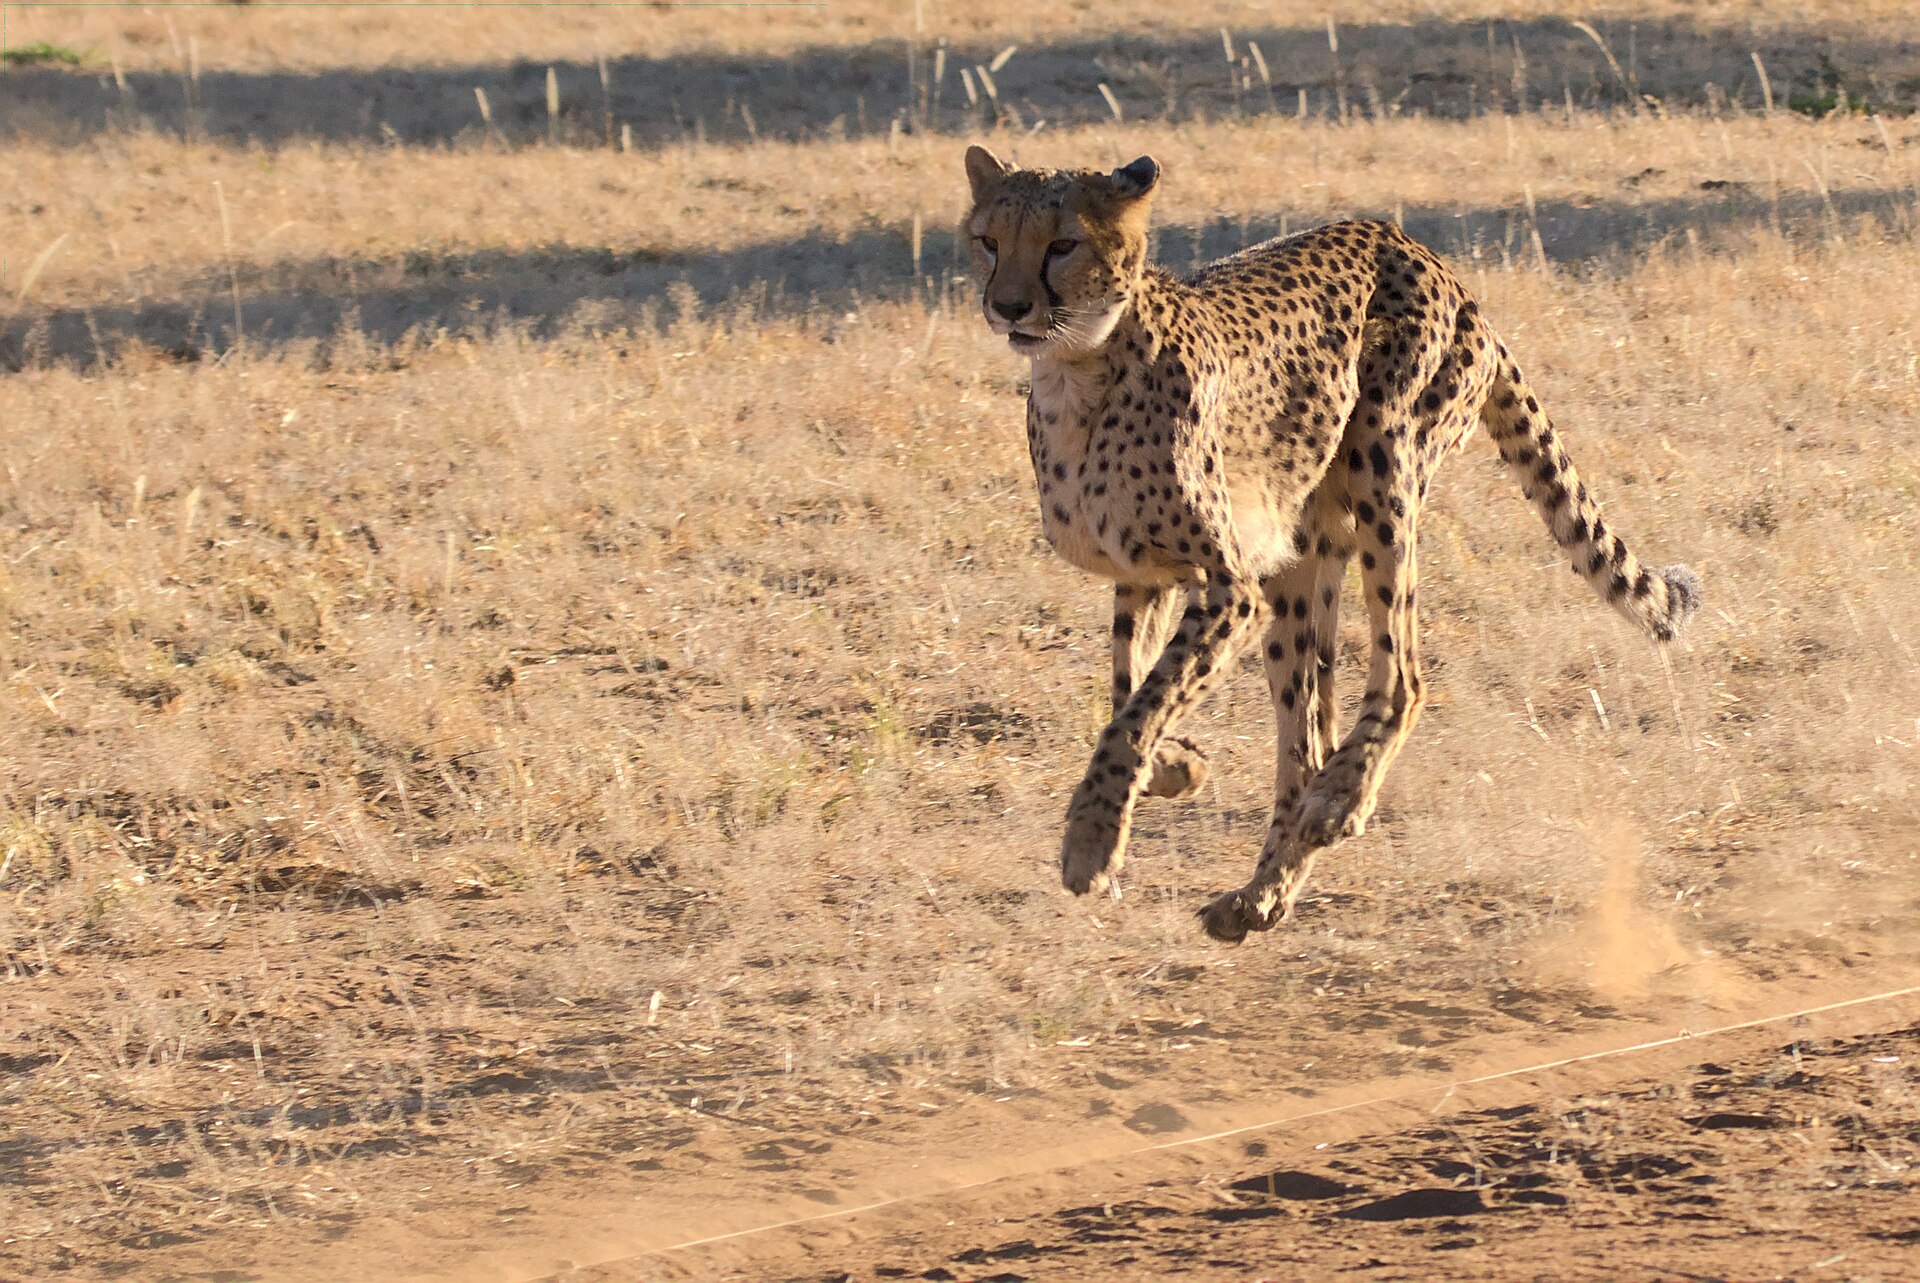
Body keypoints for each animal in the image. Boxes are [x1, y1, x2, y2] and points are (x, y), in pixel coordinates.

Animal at [961, 145, 1700, 943]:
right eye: (989, 240)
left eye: (1063, 245)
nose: (1009, 306)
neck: (1081, 371)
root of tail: (1424, 252)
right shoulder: (1148, 575)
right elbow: (1130, 690)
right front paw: (1176, 766)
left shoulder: (1229, 588)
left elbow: (1137, 711)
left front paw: (1092, 842)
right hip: (1301, 556)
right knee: (1309, 734)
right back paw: (1262, 892)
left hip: (1385, 461)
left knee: (1402, 675)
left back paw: (1340, 802)